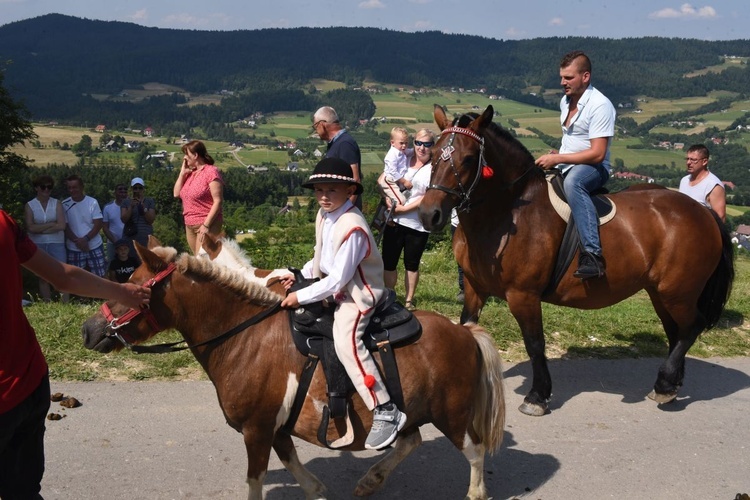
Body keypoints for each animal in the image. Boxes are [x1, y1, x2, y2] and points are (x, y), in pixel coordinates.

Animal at [81, 240, 506, 498]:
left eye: (131, 288)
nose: (89, 330)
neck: (244, 337)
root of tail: (465, 332)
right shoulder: (275, 427)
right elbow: (292, 463)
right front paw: (317, 489)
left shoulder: (256, 429)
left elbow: (256, 480)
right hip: (416, 411)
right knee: (410, 440)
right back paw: (372, 479)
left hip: (451, 415)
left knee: (474, 451)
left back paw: (475, 492)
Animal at [420, 104, 736, 418]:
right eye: (432, 154)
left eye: (469, 158)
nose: (429, 214)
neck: (507, 213)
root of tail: (704, 212)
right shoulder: (474, 287)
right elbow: (467, 329)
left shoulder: (523, 295)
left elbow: (535, 343)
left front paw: (538, 396)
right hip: (661, 292)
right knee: (676, 331)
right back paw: (671, 385)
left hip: (678, 291)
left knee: (691, 327)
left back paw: (665, 383)